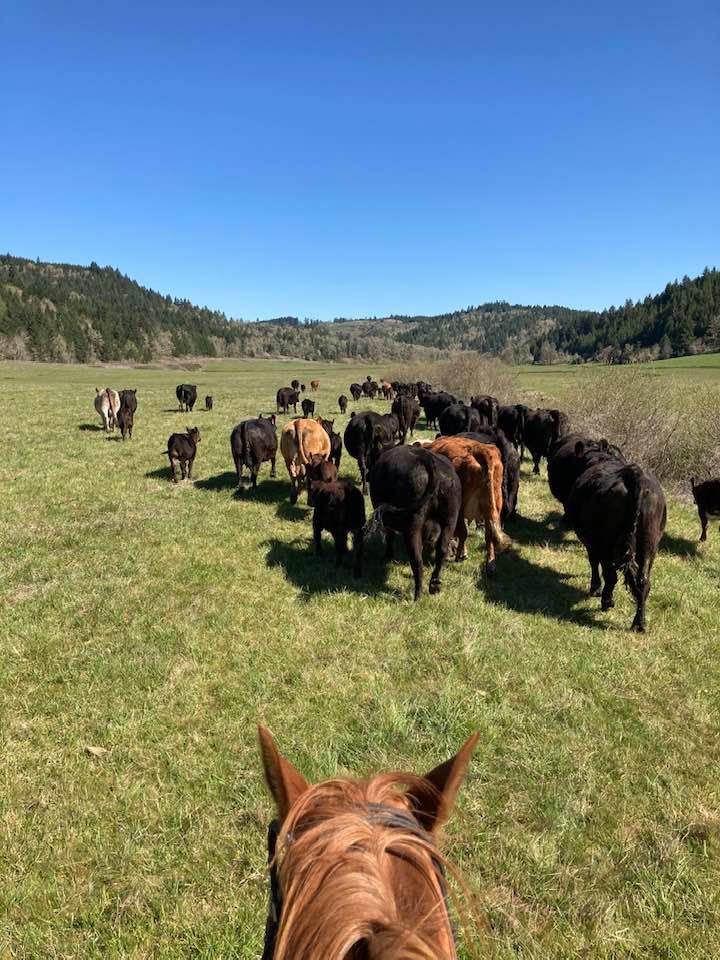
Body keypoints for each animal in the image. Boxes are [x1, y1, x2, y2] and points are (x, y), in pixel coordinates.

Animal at [367, 445, 461, 599]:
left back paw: (417, 595)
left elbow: (390, 536)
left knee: (417, 560)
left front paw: (388, 556)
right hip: (450, 520)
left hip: (412, 526)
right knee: (441, 551)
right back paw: (434, 586)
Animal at [429, 436, 511, 575]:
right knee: (489, 535)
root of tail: (481, 450)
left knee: (463, 532)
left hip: (459, 508)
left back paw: (459, 555)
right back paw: (490, 565)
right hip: (494, 505)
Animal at [566, 461, 667, 632]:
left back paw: (606, 602)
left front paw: (595, 589)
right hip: (649, 544)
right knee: (643, 582)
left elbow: (593, 563)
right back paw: (639, 623)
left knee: (610, 575)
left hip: (606, 543)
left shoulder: (592, 545)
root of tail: (635, 475)